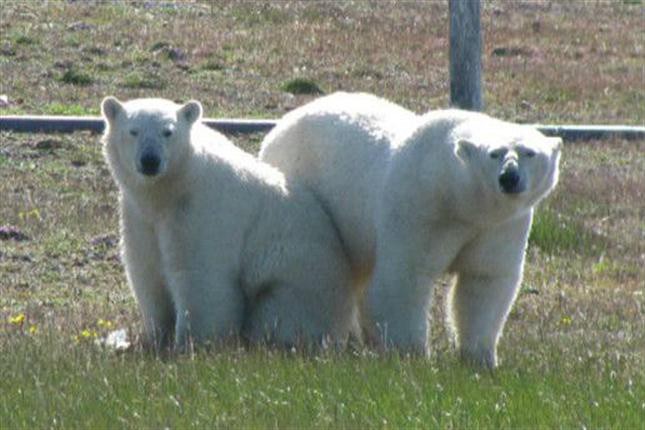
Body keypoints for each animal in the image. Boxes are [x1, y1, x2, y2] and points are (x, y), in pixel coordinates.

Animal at [101, 96, 357, 351]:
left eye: (168, 132)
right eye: (133, 131)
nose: (150, 161)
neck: (170, 190)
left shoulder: (199, 212)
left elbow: (199, 277)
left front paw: (189, 344)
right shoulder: (139, 216)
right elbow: (147, 272)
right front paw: (154, 339)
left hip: (298, 281)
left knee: (279, 316)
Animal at [259, 92, 562, 367]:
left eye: (529, 153)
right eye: (494, 154)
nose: (509, 177)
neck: (457, 197)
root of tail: (281, 123)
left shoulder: (501, 225)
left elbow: (485, 280)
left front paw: (481, 358)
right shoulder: (420, 206)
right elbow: (405, 276)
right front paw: (411, 353)